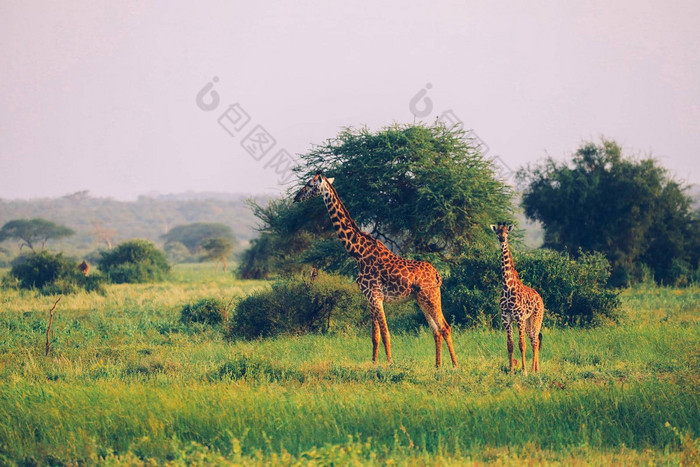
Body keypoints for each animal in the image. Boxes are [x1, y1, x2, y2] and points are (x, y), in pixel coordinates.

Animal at [292, 173, 460, 370]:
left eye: (310, 184)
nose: (296, 198)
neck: (358, 253)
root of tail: (437, 274)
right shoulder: (369, 298)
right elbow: (375, 336)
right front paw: (374, 363)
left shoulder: (376, 296)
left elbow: (386, 334)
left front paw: (389, 364)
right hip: (421, 299)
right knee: (436, 331)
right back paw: (437, 366)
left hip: (430, 296)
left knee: (445, 327)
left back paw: (454, 365)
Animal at [490, 224, 544, 376]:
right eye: (497, 232)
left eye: (507, 232)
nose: (502, 239)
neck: (508, 286)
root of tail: (540, 297)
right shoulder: (506, 318)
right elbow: (510, 345)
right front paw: (511, 371)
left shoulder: (519, 318)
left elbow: (522, 345)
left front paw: (524, 371)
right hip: (528, 322)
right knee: (534, 340)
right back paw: (535, 369)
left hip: (536, 318)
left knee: (535, 340)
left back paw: (534, 370)